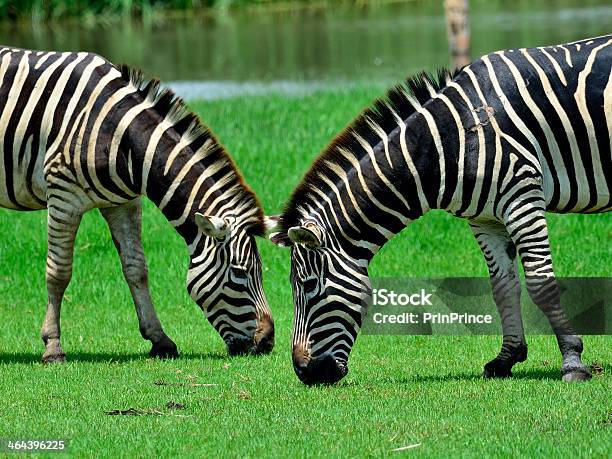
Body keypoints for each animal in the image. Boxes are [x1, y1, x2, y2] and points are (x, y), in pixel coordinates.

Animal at [0, 45, 274, 362]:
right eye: (240, 273)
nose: (267, 342)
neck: (120, 135)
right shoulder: (63, 196)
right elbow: (59, 273)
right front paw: (53, 346)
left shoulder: (124, 203)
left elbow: (136, 269)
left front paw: (160, 340)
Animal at [270, 34, 608, 384]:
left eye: (309, 286)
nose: (305, 373)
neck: (449, 141)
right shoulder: (485, 218)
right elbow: (502, 287)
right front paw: (506, 359)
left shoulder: (522, 197)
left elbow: (541, 284)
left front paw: (573, 361)